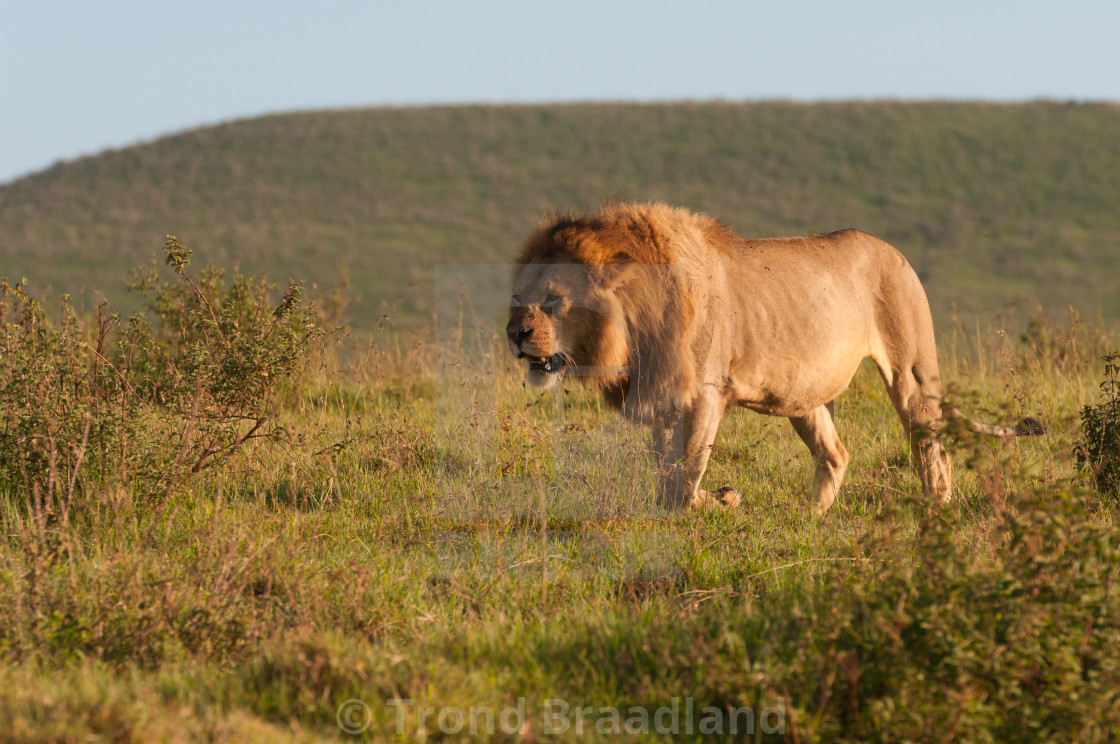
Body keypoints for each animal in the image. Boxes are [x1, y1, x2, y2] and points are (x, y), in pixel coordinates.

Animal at [506, 200, 1039, 515]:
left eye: (552, 300)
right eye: (517, 297)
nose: (514, 335)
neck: (634, 325)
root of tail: (895, 252)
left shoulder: (705, 394)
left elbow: (683, 476)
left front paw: (722, 499)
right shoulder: (662, 396)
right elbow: (666, 474)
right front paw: (711, 500)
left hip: (912, 373)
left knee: (932, 447)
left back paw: (936, 510)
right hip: (804, 397)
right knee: (836, 454)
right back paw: (812, 520)